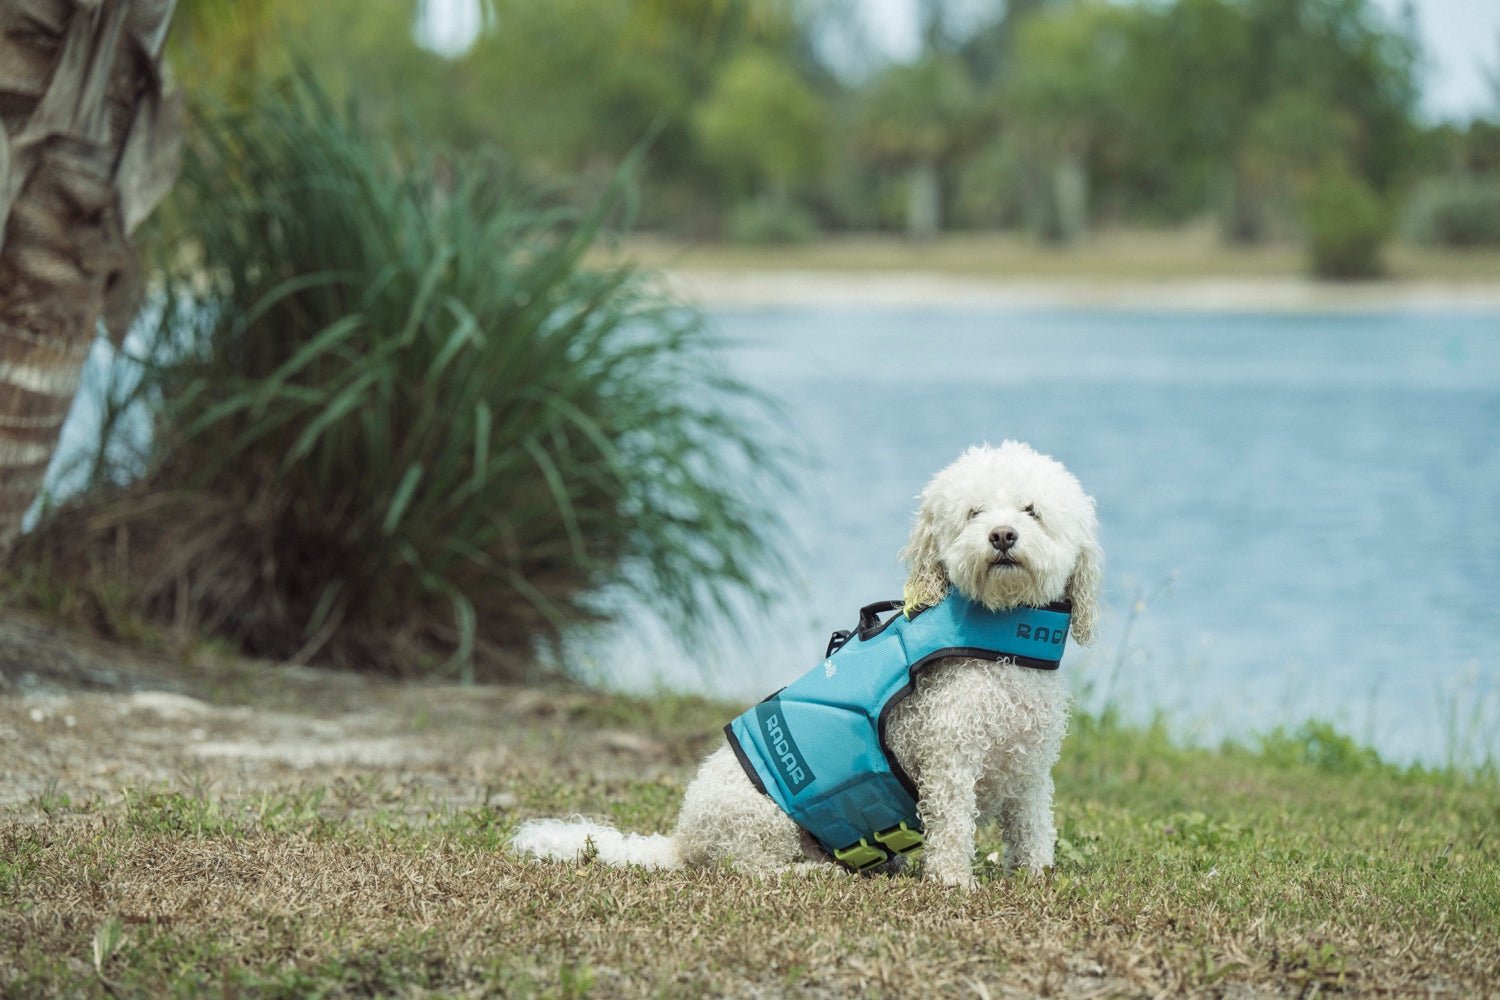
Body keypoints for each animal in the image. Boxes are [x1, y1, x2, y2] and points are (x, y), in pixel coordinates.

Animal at [516, 440, 1104, 887]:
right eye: (973, 513)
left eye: (1031, 511)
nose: (1001, 536)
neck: (1001, 641)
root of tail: (683, 840)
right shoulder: (950, 760)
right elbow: (954, 826)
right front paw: (953, 882)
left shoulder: (1031, 768)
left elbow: (1032, 827)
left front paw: (1035, 876)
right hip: (761, 819)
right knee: (748, 867)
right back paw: (808, 873)